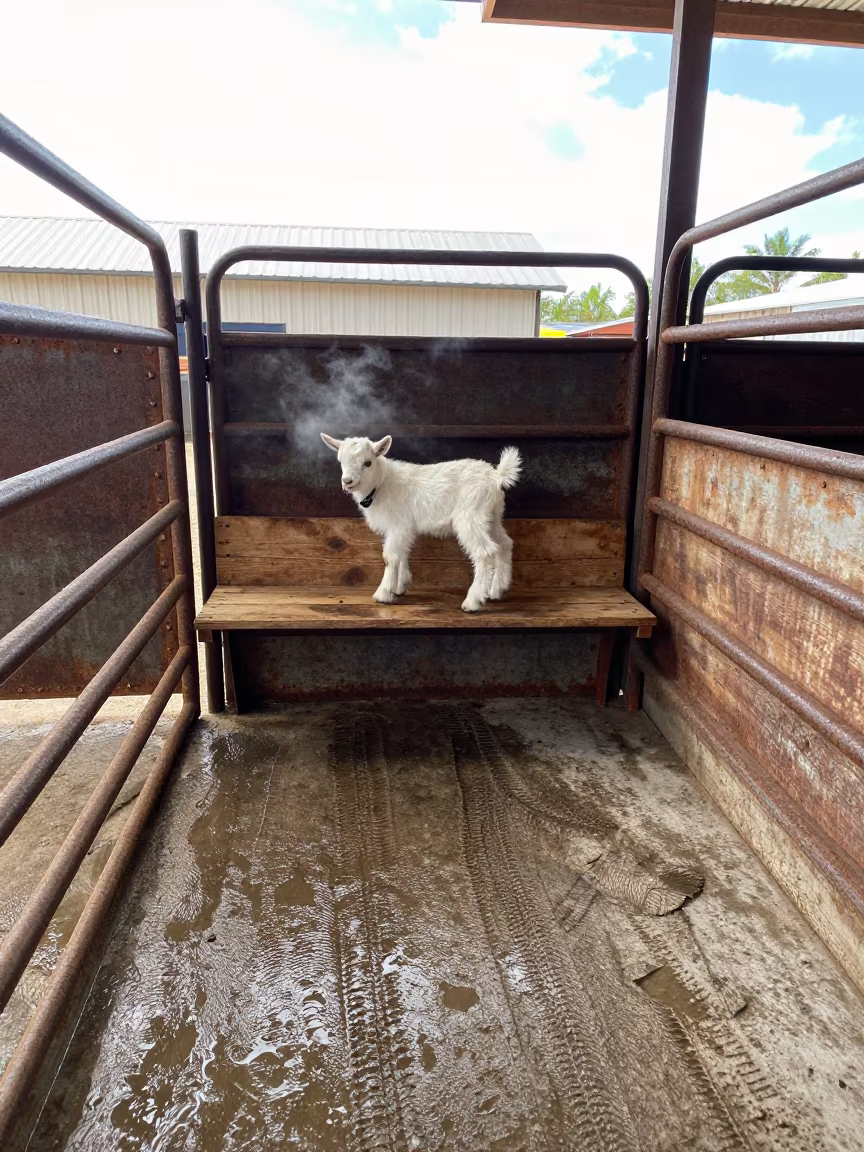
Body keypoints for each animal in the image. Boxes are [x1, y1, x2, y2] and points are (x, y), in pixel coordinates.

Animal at [320, 434, 521, 612]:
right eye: (341, 461)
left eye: (367, 462)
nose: (347, 481)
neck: (382, 482)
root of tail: (496, 477)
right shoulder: (403, 528)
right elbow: (401, 553)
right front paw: (400, 587)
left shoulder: (398, 524)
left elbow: (390, 556)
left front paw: (383, 594)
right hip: (491, 517)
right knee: (504, 544)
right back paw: (496, 590)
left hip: (470, 516)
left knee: (485, 552)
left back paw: (473, 601)